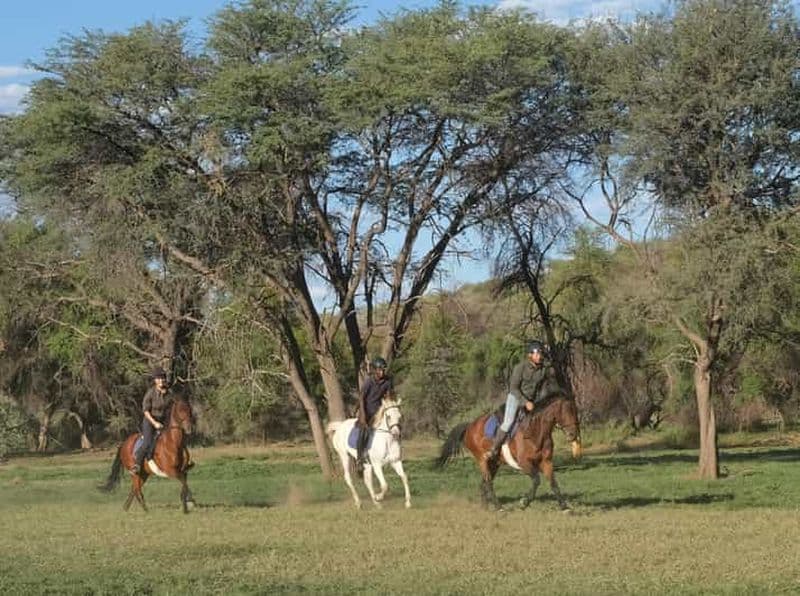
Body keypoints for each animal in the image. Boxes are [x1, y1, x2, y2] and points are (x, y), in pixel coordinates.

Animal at [436, 394, 582, 511]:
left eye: (575, 411)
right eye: (565, 411)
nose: (573, 435)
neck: (535, 432)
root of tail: (470, 426)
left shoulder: (546, 462)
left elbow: (553, 483)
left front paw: (564, 506)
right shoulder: (524, 463)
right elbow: (536, 481)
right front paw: (524, 502)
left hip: (494, 463)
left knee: (484, 482)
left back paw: (485, 506)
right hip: (482, 460)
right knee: (488, 481)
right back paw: (498, 507)